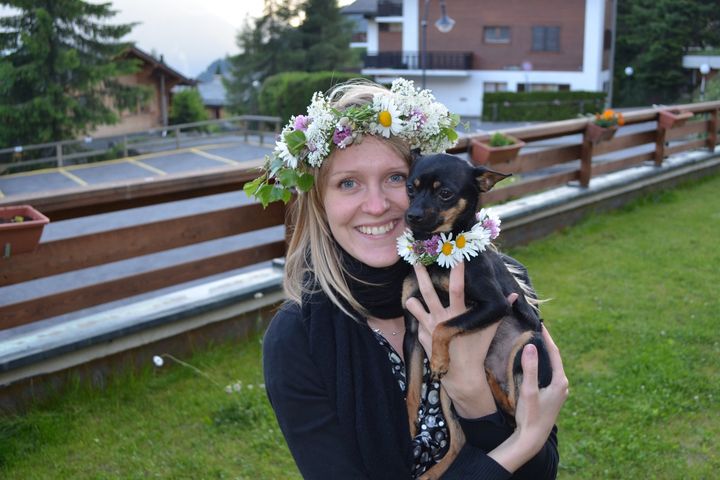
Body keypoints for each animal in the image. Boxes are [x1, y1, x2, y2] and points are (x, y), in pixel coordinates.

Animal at [401, 153, 553, 479]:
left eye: (445, 193)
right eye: (409, 188)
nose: (412, 215)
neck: (436, 258)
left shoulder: (494, 304)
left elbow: (444, 325)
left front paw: (440, 359)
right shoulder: (412, 333)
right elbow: (412, 390)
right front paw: (407, 425)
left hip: (527, 346)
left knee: (514, 414)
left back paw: (491, 381)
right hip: (449, 396)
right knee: (461, 438)